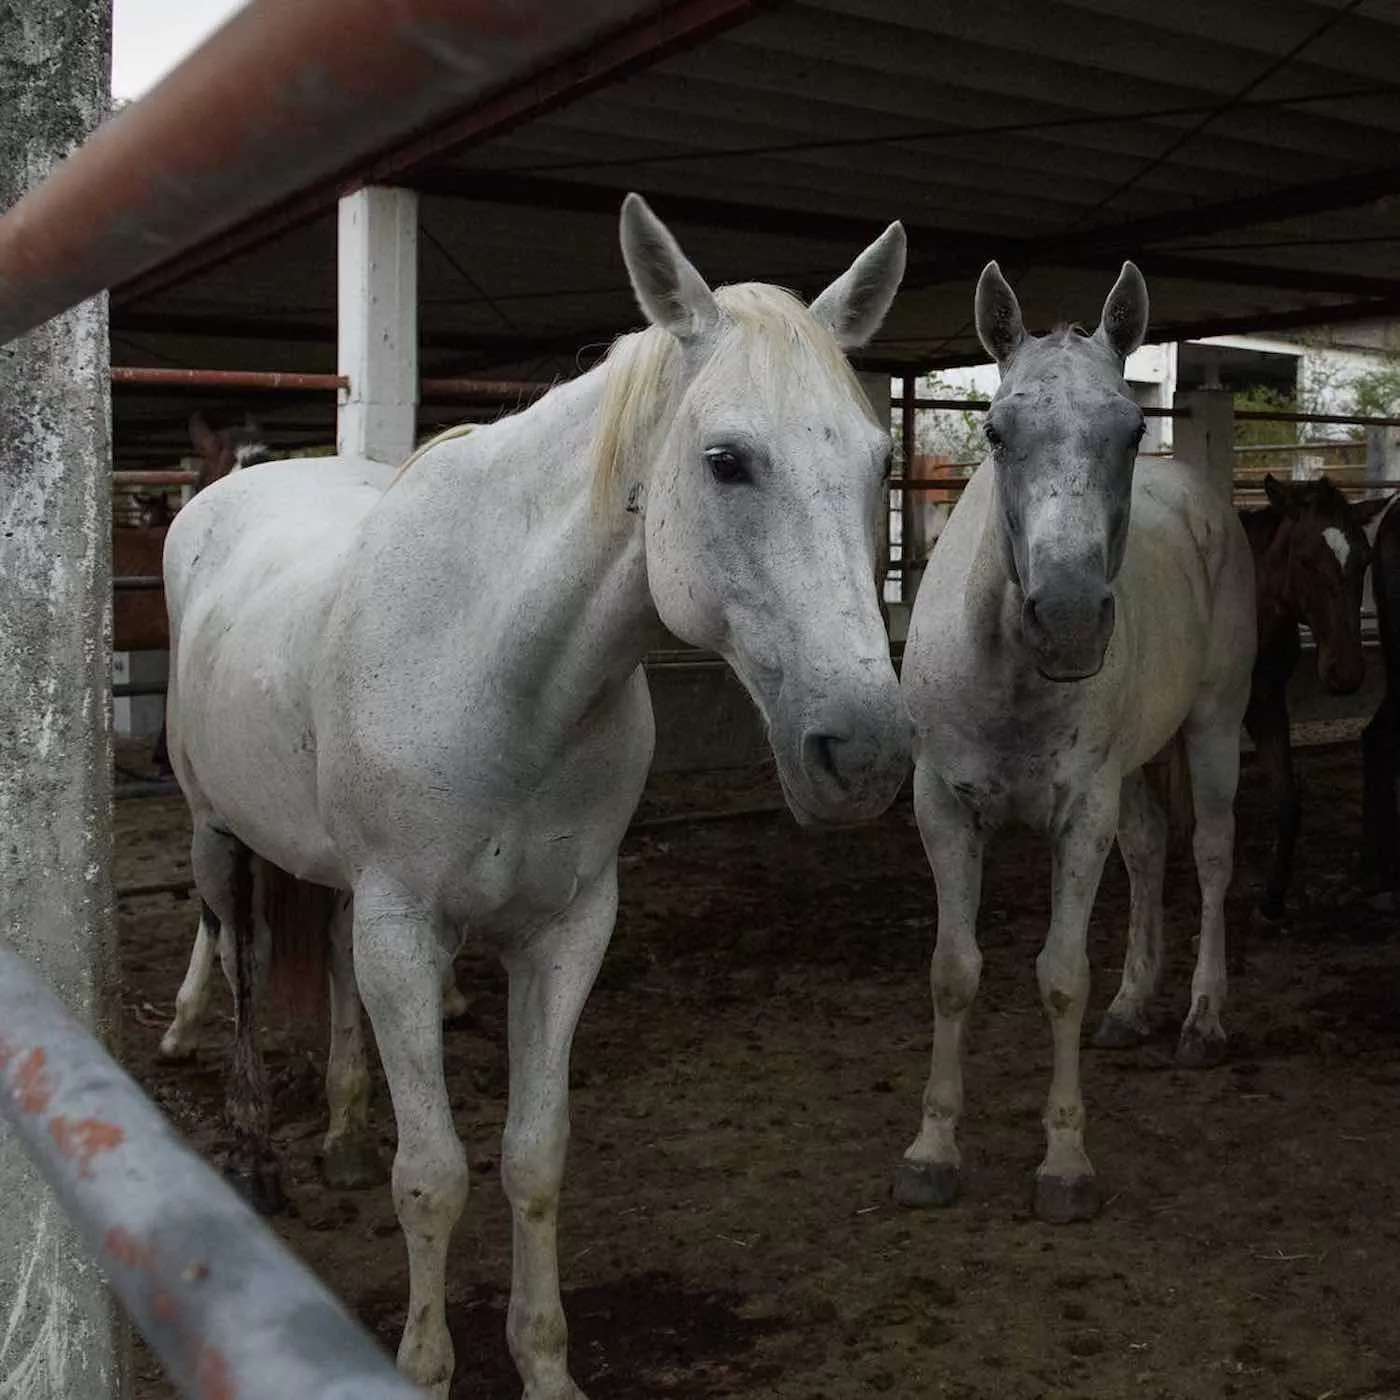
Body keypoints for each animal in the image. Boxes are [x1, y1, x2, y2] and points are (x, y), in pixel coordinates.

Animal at [163, 197, 912, 1400]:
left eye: (880, 460)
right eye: (725, 461)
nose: (868, 753)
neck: (498, 668)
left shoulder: (565, 930)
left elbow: (533, 1153)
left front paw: (544, 1361)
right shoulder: (404, 929)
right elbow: (432, 1173)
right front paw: (423, 1365)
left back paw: (339, 1134)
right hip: (216, 833)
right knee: (236, 963)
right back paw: (253, 1150)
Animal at [896, 263, 1260, 1226]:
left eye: (1131, 430)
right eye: (996, 430)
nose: (1065, 620)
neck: (1009, 672)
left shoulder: (1079, 812)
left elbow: (1061, 975)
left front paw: (1064, 1164)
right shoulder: (943, 807)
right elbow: (952, 970)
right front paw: (932, 1150)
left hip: (1213, 727)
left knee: (1212, 855)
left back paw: (1201, 1021)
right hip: (1132, 769)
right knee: (1149, 848)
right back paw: (1134, 1009)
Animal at [1243, 476, 1372, 924]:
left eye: (1365, 561)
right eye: (1304, 561)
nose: (1345, 672)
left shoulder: (1265, 702)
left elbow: (1288, 804)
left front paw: (1272, 899)